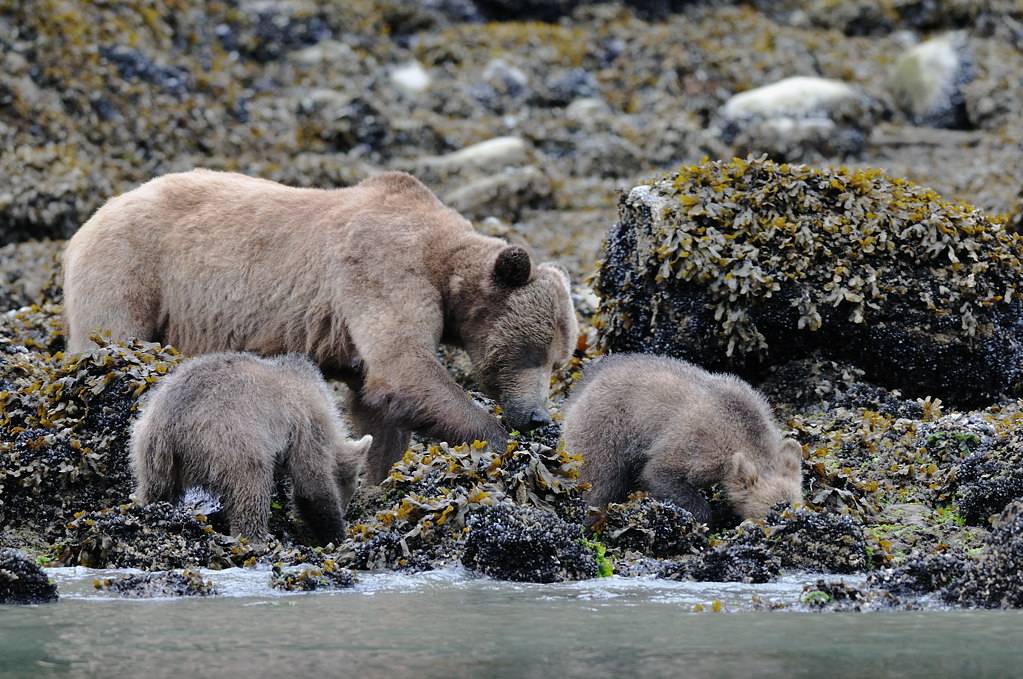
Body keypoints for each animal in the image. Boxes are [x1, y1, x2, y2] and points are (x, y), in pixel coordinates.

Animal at [63, 172, 576, 484]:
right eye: (533, 352)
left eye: (560, 357)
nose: (538, 415)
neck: (443, 263)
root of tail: (90, 220)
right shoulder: (382, 265)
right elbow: (404, 368)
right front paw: (507, 444)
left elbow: (377, 406)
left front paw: (375, 478)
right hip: (131, 270)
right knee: (110, 338)